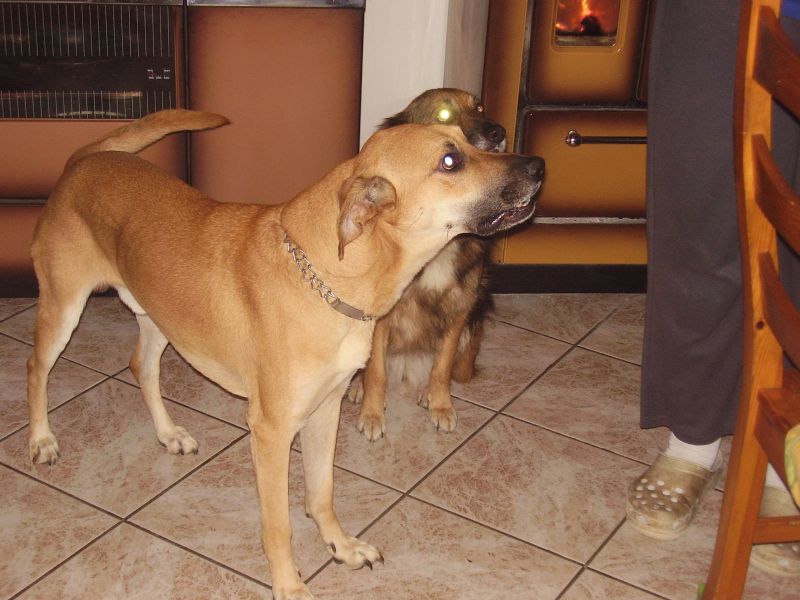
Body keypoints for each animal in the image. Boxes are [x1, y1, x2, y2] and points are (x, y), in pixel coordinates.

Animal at [346, 88, 511, 441]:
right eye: (443, 116)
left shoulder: (460, 310)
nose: (498, 132)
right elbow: (376, 372)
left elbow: (442, 366)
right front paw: (372, 413)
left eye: (480, 107)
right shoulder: (380, 320)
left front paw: (440, 404)